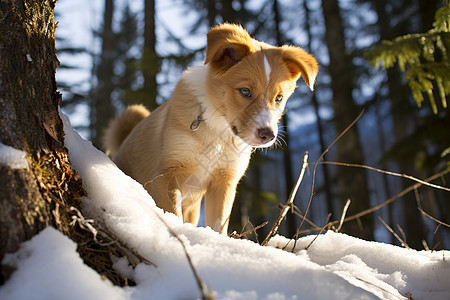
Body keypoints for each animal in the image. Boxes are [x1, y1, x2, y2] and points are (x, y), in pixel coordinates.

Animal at [103, 23, 318, 234]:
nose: (268, 135)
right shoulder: (166, 175)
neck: (218, 132)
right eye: (245, 91)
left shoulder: (224, 182)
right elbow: (173, 214)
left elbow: (218, 224)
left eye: (279, 98)